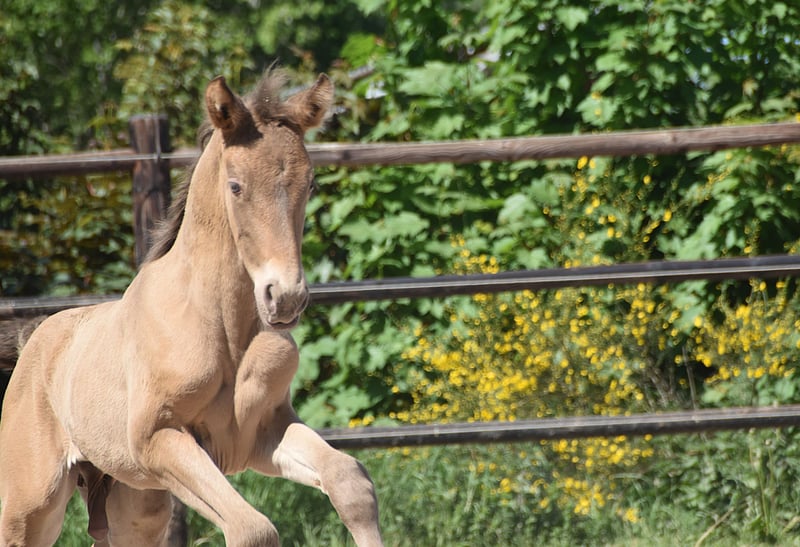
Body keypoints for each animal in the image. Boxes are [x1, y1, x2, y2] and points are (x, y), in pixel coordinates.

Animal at [0, 71, 383, 547]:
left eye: (310, 184)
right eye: (235, 185)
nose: (285, 297)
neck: (222, 328)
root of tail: (32, 341)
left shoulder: (263, 432)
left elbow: (350, 480)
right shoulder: (159, 440)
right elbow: (253, 528)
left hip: (136, 504)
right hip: (32, 503)